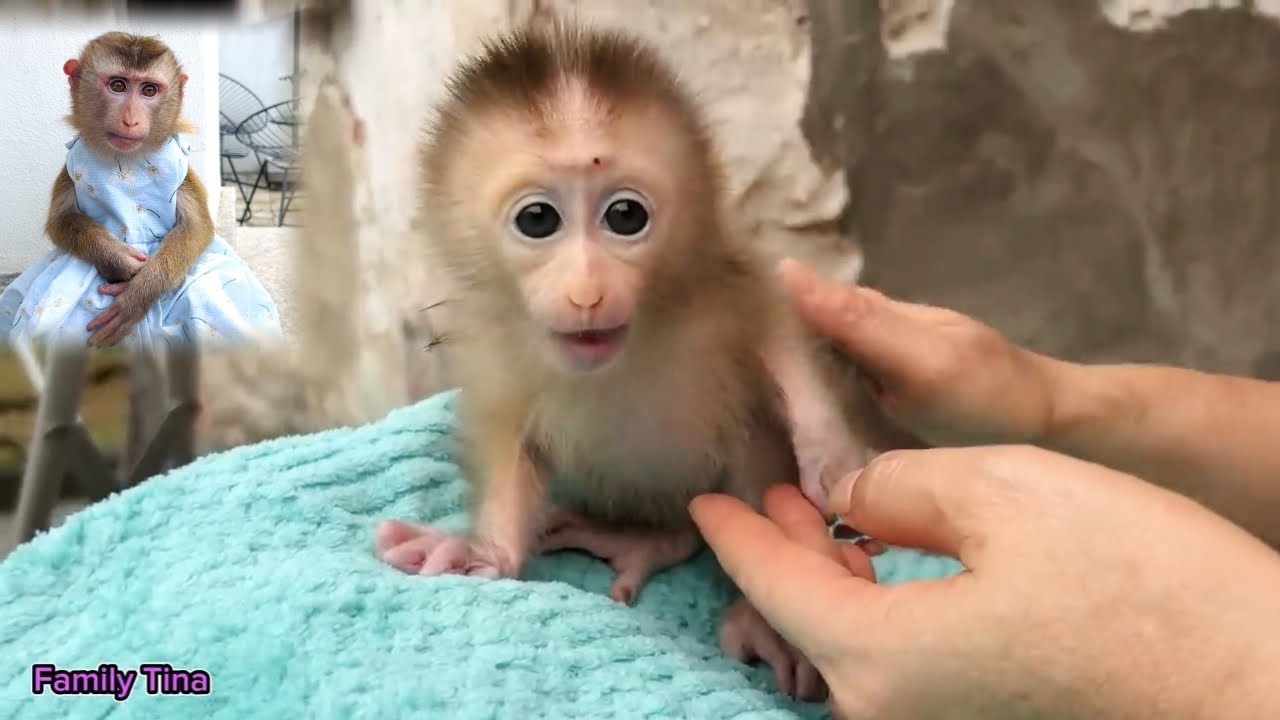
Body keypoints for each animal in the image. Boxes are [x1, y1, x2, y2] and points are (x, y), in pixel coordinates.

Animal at [0, 32, 283, 350]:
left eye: (149, 90)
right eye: (118, 85)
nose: (130, 119)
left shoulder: (182, 170)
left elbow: (197, 227)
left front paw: (137, 297)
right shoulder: (70, 165)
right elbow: (60, 222)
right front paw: (118, 261)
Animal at [374, 24, 875, 701]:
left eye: (625, 216)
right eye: (538, 219)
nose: (587, 292)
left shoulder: (717, 277)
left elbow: (777, 334)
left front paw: (831, 452)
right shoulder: (494, 350)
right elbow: (510, 444)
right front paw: (483, 553)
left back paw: (757, 616)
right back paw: (648, 538)